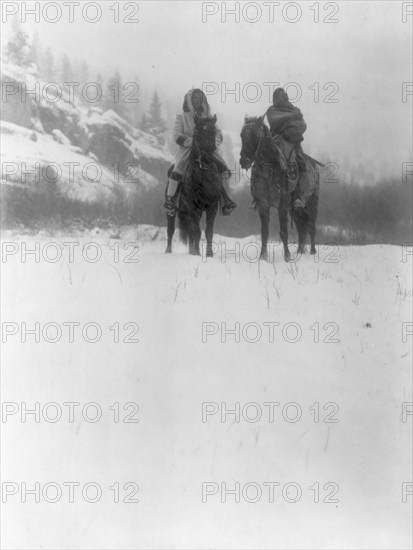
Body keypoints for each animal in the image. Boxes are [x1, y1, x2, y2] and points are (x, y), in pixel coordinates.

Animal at [165, 115, 222, 258]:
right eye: (198, 132)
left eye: (214, 132)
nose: (207, 157)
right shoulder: (193, 207)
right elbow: (196, 231)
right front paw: (196, 253)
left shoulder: (212, 207)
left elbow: (208, 231)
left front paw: (209, 254)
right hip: (173, 211)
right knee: (171, 229)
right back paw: (169, 251)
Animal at [238, 115, 318, 262]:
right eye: (242, 135)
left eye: (254, 135)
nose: (244, 161)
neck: (268, 171)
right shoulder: (263, 205)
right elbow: (264, 232)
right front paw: (263, 257)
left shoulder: (281, 206)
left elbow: (283, 232)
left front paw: (287, 257)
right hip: (294, 209)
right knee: (301, 228)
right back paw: (300, 251)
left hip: (311, 204)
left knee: (311, 227)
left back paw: (312, 252)